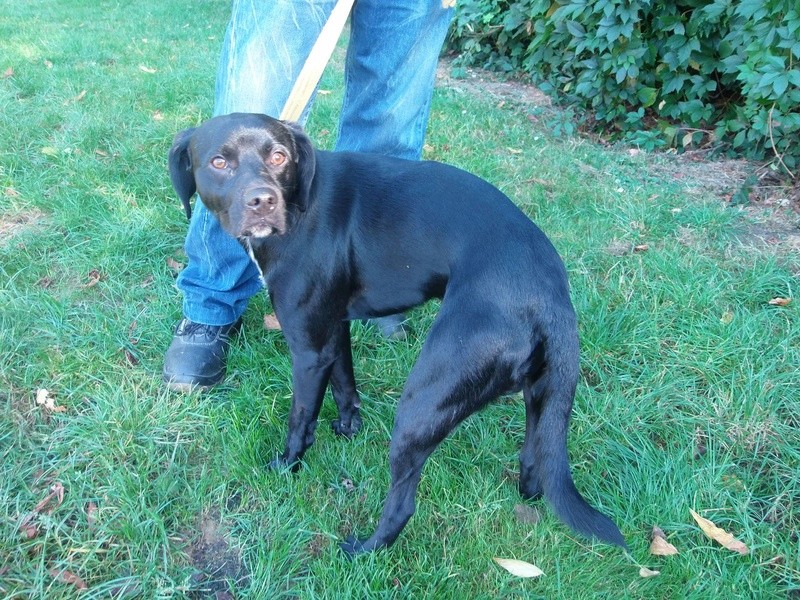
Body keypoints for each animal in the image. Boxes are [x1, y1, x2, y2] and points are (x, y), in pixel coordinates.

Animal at [169, 112, 624, 552]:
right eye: (219, 162)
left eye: (279, 156)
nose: (262, 200)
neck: (300, 200)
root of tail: (551, 295)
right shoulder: (332, 329)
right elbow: (345, 384)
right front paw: (348, 429)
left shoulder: (308, 349)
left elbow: (301, 417)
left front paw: (287, 466)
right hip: (540, 394)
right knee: (534, 460)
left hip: (424, 402)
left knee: (403, 503)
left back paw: (364, 549)